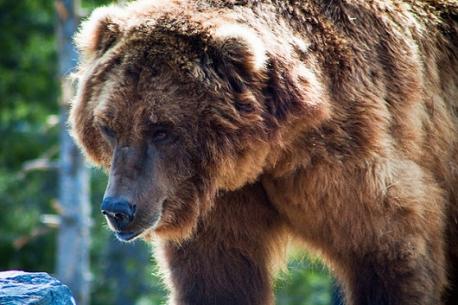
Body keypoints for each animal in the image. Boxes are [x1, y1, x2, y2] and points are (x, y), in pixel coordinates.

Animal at [69, 0, 458, 304]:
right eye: (108, 126)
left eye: (161, 129)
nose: (118, 209)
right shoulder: (222, 201)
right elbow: (217, 276)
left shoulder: (349, 163)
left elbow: (391, 252)